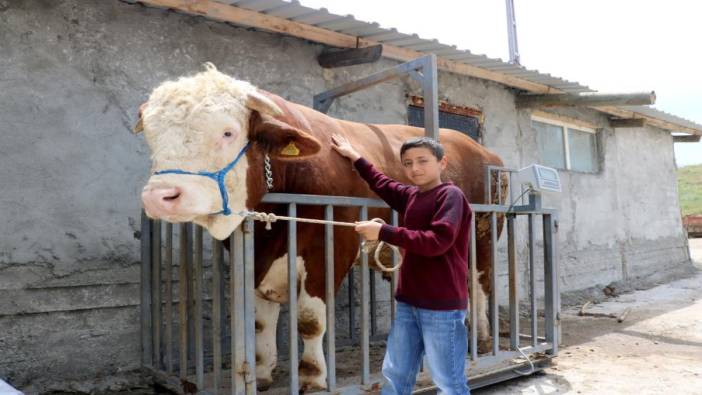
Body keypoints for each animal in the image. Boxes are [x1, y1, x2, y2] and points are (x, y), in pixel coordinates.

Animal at [136, 63, 506, 392]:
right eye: (152, 138)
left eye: (228, 132)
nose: (159, 196)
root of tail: (483, 151)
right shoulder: (258, 261)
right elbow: (260, 320)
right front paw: (262, 371)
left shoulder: (329, 248)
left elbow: (310, 319)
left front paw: (312, 376)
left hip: (483, 234)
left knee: (479, 282)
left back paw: (481, 338)